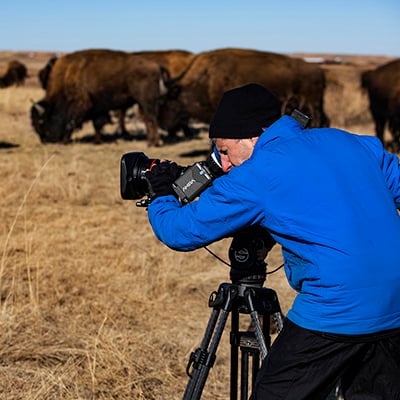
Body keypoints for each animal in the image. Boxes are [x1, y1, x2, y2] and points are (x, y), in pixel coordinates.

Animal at [31, 48, 173, 145]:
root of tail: (156, 66)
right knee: (148, 119)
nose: (45, 139)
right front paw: (97, 140)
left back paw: (153, 143)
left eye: (41, 120)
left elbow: (72, 123)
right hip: (143, 103)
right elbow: (96, 125)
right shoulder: (96, 108)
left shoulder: (81, 105)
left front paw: (66, 140)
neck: (68, 76)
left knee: (151, 119)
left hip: (146, 102)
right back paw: (150, 141)